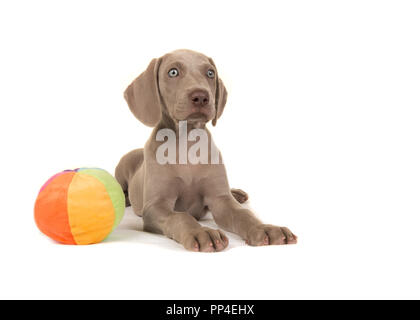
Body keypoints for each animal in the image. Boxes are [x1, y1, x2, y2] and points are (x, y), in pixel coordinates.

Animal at [115, 48, 298, 251]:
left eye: (210, 73)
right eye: (173, 72)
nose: (201, 97)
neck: (187, 143)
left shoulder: (220, 201)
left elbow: (243, 215)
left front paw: (265, 228)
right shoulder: (155, 207)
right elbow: (181, 216)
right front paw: (201, 232)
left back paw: (237, 194)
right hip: (121, 170)